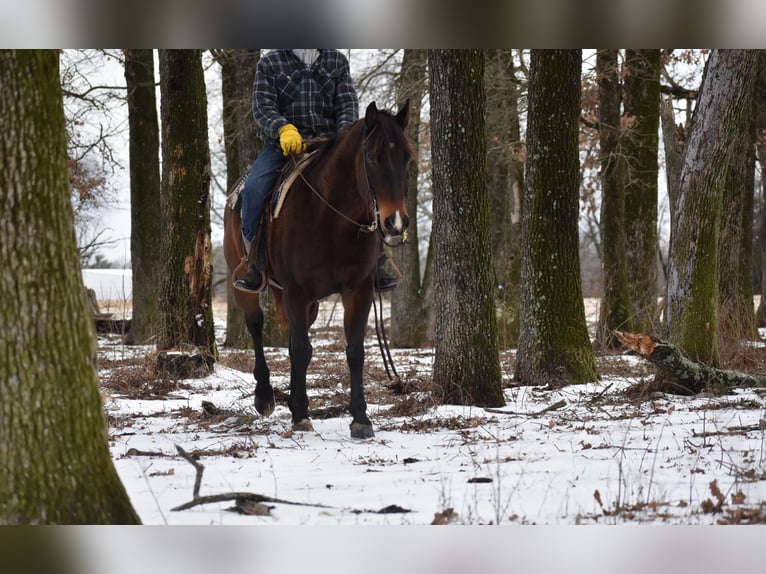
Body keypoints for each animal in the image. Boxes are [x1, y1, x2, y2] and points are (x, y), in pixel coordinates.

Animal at [223, 100, 412, 439]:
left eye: (407, 157)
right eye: (372, 157)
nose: (396, 222)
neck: (331, 218)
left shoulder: (358, 290)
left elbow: (354, 351)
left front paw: (360, 418)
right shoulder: (296, 291)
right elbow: (301, 348)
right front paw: (300, 414)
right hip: (248, 284)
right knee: (256, 325)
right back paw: (265, 397)